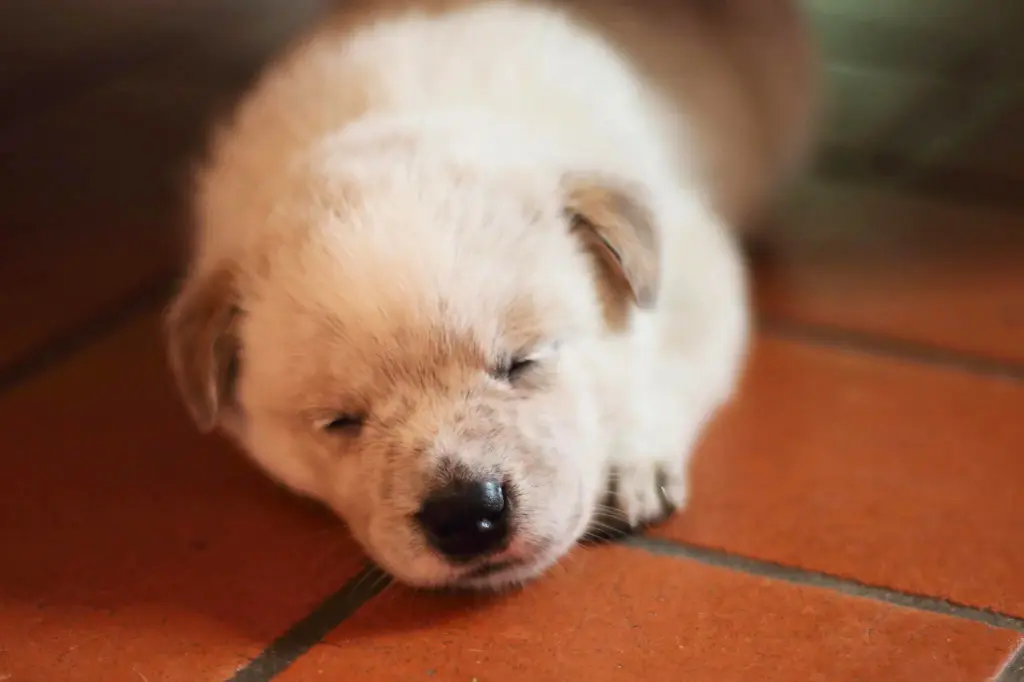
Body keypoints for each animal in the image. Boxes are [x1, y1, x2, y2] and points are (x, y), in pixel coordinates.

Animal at [165, 0, 815, 585]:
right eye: (340, 421)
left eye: (522, 364)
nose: (466, 515)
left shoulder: (694, 265)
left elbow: (668, 368)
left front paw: (632, 462)